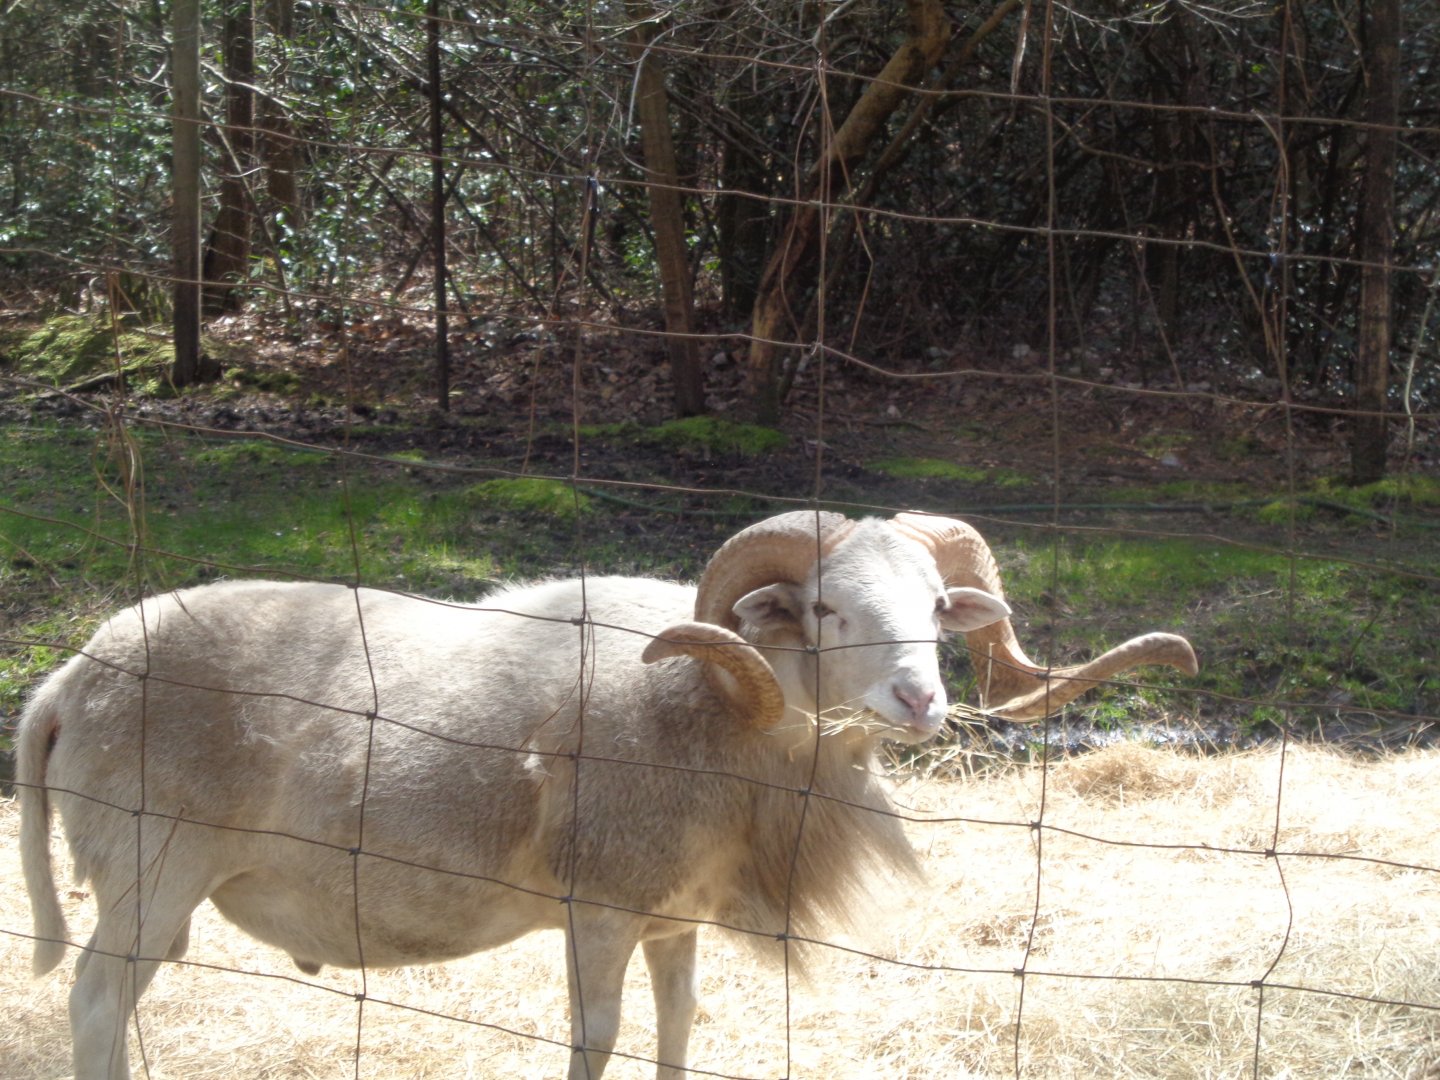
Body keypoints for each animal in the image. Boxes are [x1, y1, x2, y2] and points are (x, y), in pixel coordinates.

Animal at [17, 510, 1197, 1079]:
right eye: (824, 608)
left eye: (937, 608)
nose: (921, 699)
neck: (725, 718)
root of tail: (68, 678)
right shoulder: (599, 912)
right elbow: (599, 1036)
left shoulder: (674, 920)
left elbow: (677, 1028)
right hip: (147, 873)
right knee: (94, 1004)